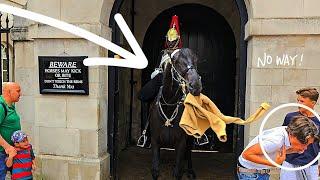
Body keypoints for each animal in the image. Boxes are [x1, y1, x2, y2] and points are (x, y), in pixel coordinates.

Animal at [149, 48, 201, 180]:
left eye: (196, 60)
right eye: (175, 61)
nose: (196, 85)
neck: (169, 108)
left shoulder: (181, 142)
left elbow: (177, 172)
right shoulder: (155, 141)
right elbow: (155, 170)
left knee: (189, 153)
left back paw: (190, 171)